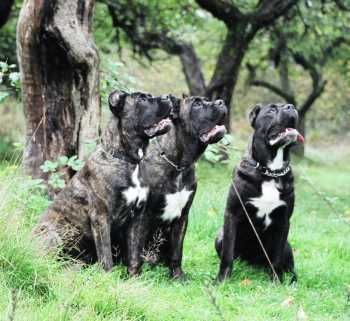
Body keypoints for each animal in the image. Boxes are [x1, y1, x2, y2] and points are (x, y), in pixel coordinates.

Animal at [33, 89, 173, 270]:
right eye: (142, 99)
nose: (168, 97)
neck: (128, 160)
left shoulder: (136, 219)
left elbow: (134, 256)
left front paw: (134, 276)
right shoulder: (101, 217)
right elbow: (106, 256)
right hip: (53, 234)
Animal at [215, 104, 302, 282]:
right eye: (271, 110)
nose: (291, 106)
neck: (270, 172)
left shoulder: (284, 220)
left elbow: (277, 257)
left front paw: (276, 281)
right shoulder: (232, 213)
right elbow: (227, 254)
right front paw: (222, 280)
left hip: (288, 246)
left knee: (287, 263)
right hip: (219, 236)